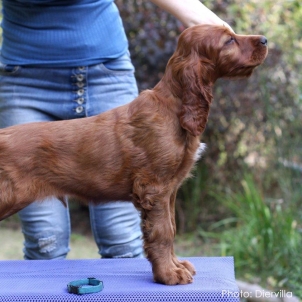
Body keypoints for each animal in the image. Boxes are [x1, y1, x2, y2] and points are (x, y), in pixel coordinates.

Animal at [0, 24, 266, 286]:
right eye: (229, 40)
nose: (264, 40)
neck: (173, 108)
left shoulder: (169, 190)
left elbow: (171, 226)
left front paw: (176, 265)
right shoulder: (154, 188)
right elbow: (162, 232)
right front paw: (169, 274)